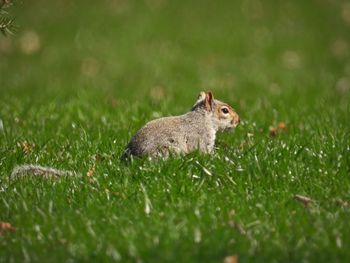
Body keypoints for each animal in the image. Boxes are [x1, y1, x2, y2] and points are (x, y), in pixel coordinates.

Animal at [10, 91, 241, 179]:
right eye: (225, 110)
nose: (239, 120)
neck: (204, 118)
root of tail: (128, 162)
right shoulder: (202, 138)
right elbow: (205, 154)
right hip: (167, 151)